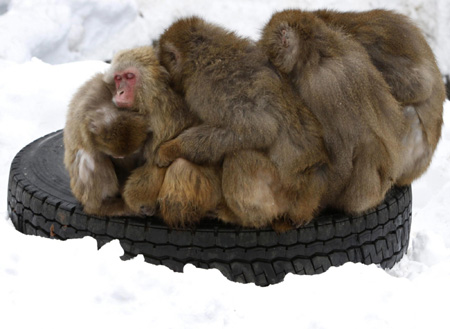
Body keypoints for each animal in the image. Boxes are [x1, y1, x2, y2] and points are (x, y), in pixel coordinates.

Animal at [156, 17, 328, 228]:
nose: (169, 80)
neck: (201, 53)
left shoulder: (207, 89)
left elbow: (257, 128)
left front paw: (170, 148)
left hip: (283, 194)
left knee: (240, 156)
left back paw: (241, 217)